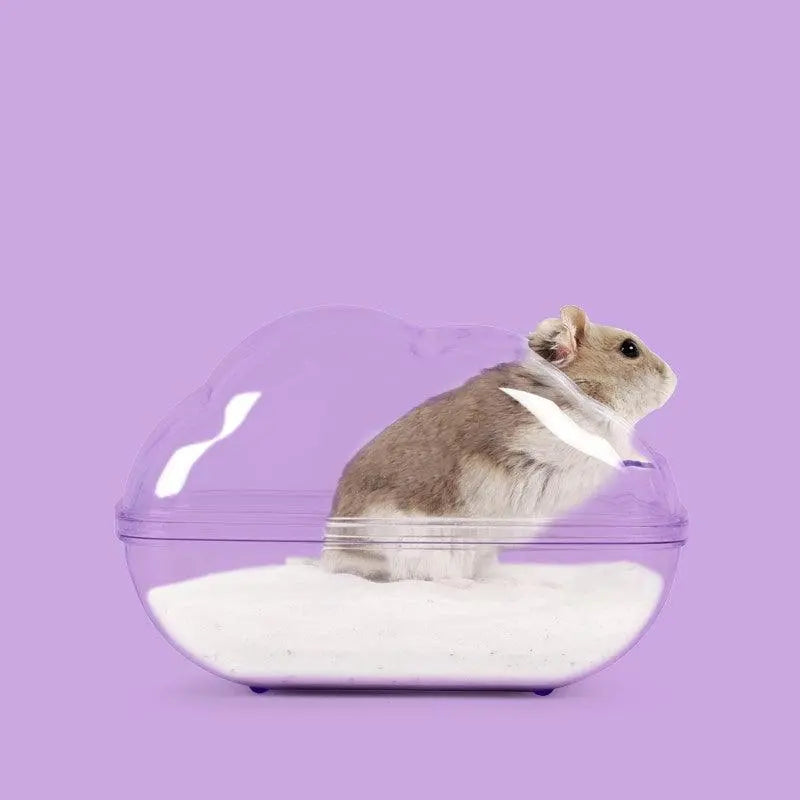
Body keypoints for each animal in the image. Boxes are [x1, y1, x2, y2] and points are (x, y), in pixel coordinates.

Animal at [321, 306, 676, 582]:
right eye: (629, 349)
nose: (674, 378)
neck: (578, 392)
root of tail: (338, 553)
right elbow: (609, 446)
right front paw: (640, 458)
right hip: (421, 546)